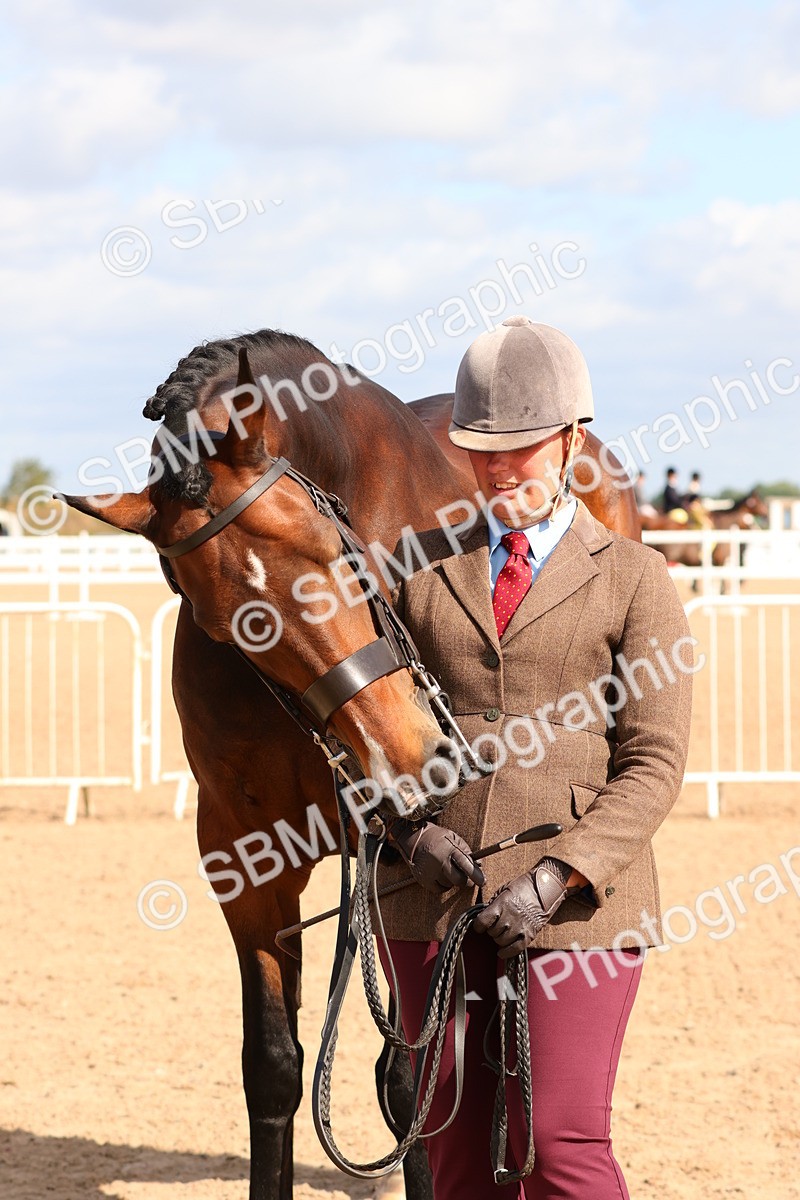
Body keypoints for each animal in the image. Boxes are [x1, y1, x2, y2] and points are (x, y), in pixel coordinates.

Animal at [61, 329, 641, 1200]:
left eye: (327, 545)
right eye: (228, 622)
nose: (411, 756)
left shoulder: (401, 870)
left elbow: (410, 1079)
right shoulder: (243, 859)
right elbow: (273, 1066)